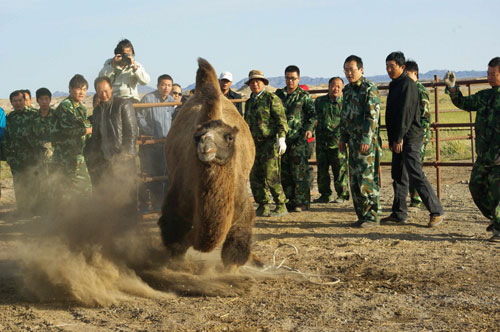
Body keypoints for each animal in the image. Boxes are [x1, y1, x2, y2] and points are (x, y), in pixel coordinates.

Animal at [158, 57, 256, 270]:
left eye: (229, 137)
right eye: (196, 137)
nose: (206, 145)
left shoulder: (243, 211)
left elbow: (234, 249)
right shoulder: (176, 209)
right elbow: (175, 241)